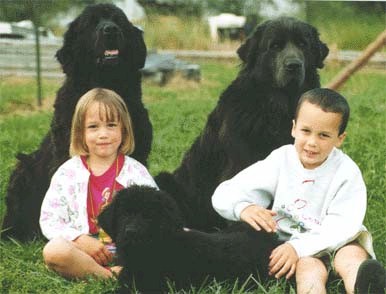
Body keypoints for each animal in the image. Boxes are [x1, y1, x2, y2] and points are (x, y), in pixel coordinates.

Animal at [155, 16, 328, 232]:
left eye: (303, 45)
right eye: (275, 46)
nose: (293, 65)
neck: (276, 107)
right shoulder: (241, 161)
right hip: (166, 181)